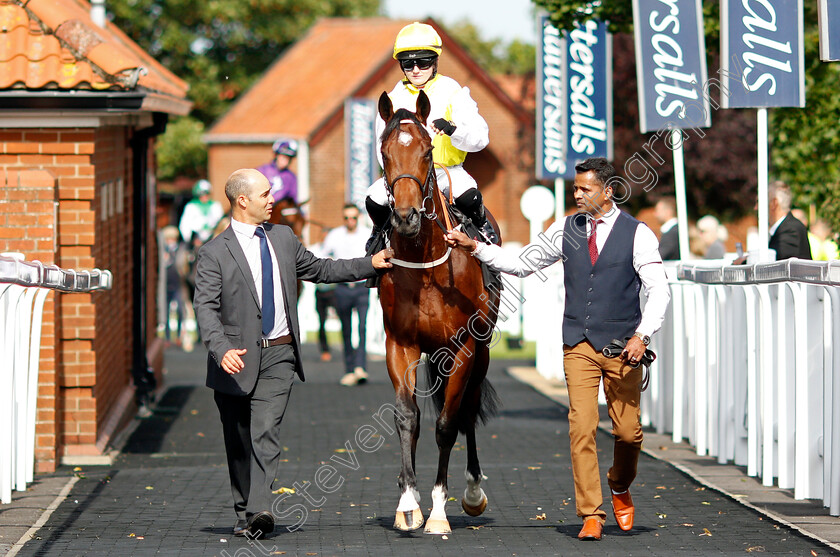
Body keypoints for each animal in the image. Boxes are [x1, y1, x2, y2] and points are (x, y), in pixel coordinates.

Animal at [374, 89, 498, 532]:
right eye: (384, 152)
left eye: (427, 151)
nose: (406, 217)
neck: (425, 264)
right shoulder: (401, 344)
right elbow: (407, 418)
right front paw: (408, 503)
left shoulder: (463, 348)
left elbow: (447, 424)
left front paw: (439, 512)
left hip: (480, 353)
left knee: (468, 410)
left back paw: (474, 492)